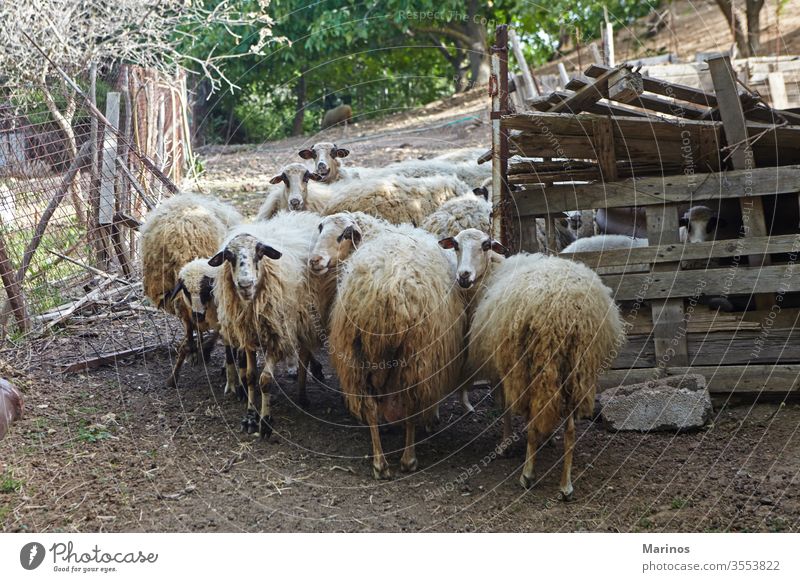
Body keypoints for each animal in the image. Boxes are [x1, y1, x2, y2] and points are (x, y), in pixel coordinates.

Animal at [139, 194, 242, 390]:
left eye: (207, 288)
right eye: (185, 290)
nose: (198, 314)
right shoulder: (182, 305)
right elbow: (188, 340)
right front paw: (174, 376)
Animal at [212, 211, 328, 438]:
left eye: (259, 253)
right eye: (229, 256)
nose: (245, 284)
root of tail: (304, 215)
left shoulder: (277, 336)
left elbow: (265, 380)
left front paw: (265, 422)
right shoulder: (248, 337)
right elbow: (250, 377)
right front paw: (249, 418)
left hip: (306, 319)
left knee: (304, 354)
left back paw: (302, 395)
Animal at [328, 224, 466, 480]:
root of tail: (385, 293)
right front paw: (432, 419)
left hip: (355, 356)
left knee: (371, 407)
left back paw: (380, 463)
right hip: (417, 354)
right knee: (410, 403)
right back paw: (408, 459)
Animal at [438, 230, 624, 500]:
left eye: (485, 245)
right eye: (456, 246)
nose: (463, 276)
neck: (494, 271)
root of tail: (565, 310)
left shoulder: (504, 367)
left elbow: (504, 407)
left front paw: (505, 444)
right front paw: (549, 440)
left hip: (535, 365)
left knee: (534, 417)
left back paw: (527, 475)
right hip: (577, 366)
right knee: (569, 428)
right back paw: (566, 485)